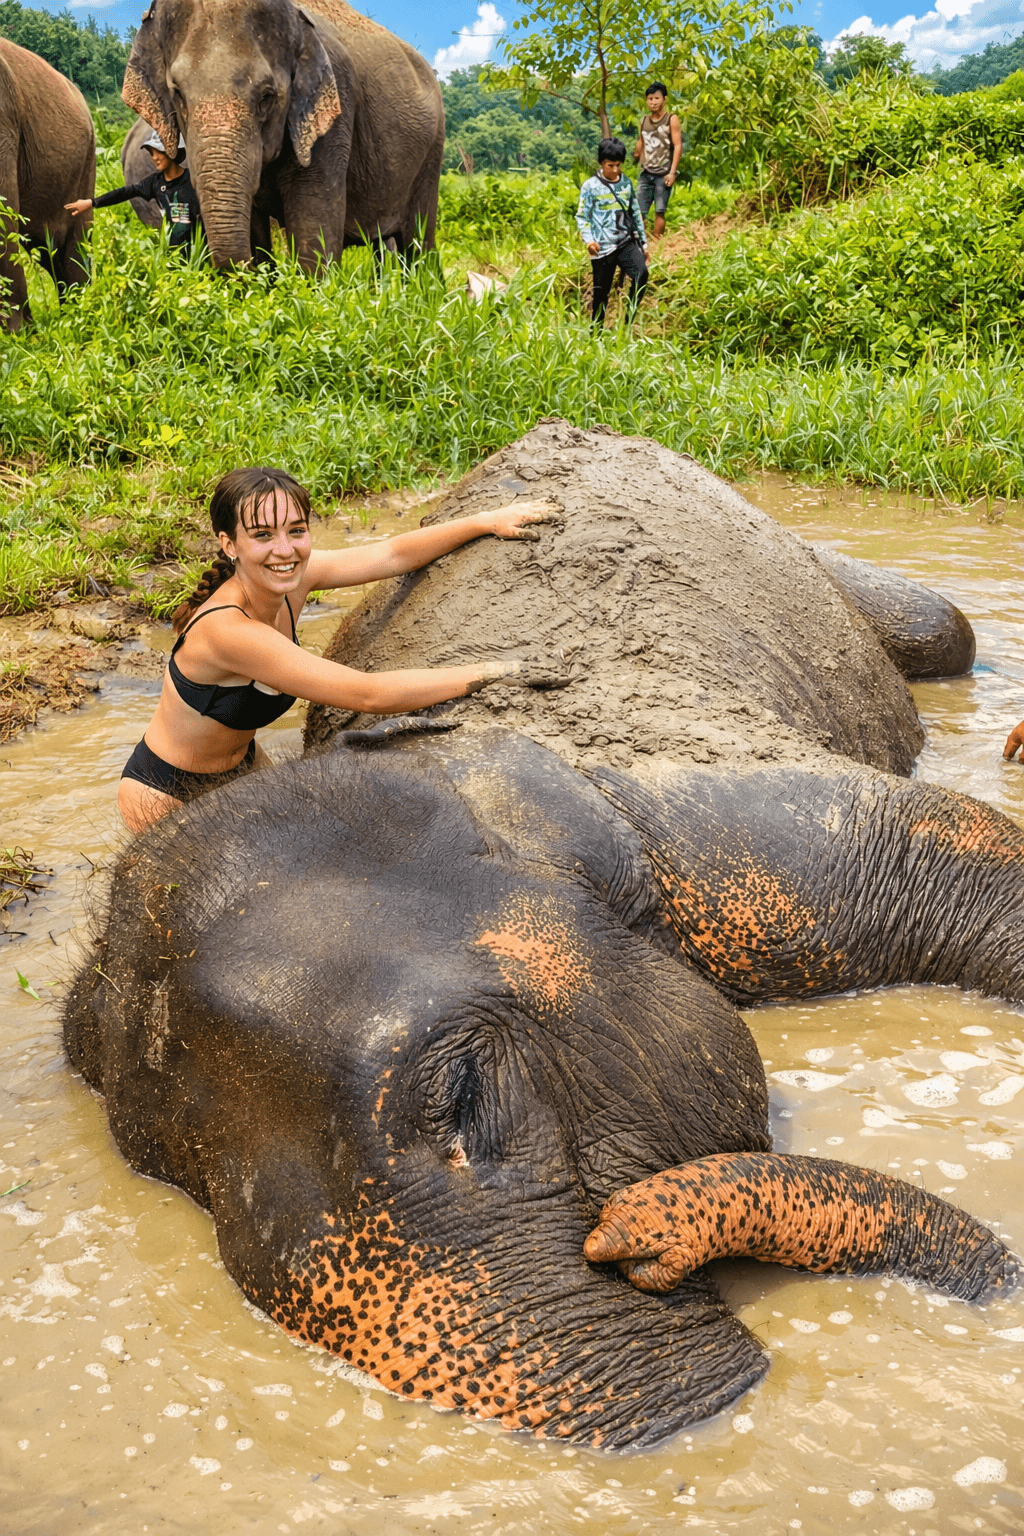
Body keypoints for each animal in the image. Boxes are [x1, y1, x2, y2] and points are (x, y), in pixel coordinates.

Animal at [66, 425, 1021, 1449]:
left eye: (464, 1093)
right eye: (182, 1179)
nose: (631, 1237)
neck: (460, 769)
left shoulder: (738, 846)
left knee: (942, 627)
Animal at [119, 0, 444, 270]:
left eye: (267, 97)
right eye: (178, 94)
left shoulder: (336, 106)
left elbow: (313, 229)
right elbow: (255, 226)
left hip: (432, 152)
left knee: (418, 240)